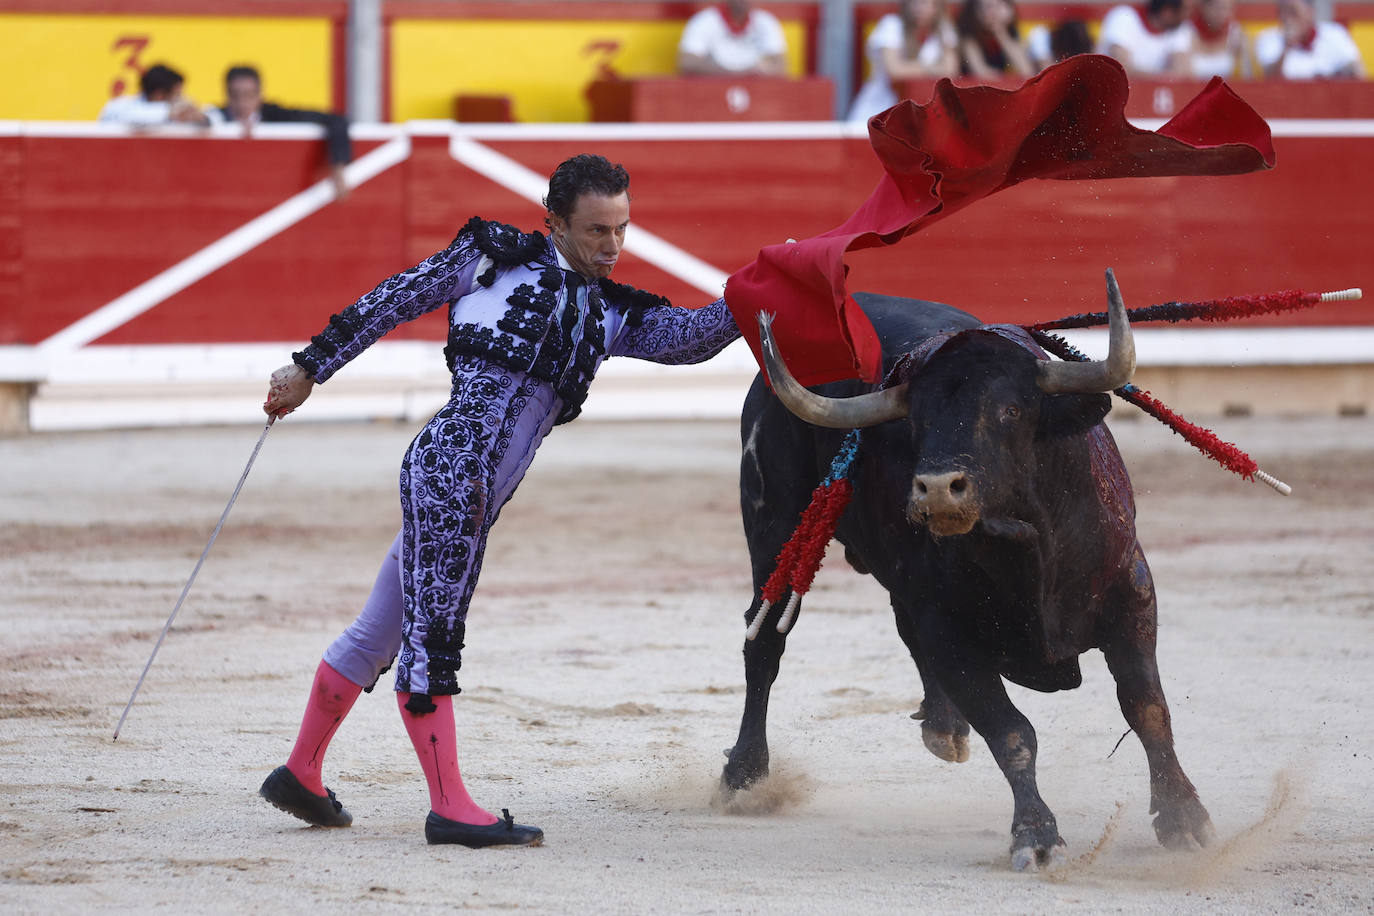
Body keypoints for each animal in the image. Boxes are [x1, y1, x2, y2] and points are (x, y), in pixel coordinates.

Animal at [719, 269, 1214, 873]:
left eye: (1011, 410)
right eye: (918, 420)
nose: (935, 489)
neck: (1021, 544)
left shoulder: (1132, 596)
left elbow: (1146, 708)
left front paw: (1185, 819)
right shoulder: (950, 632)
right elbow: (1012, 731)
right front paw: (1037, 836)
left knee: (896, 625)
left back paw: (943, 724)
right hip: (774, 528)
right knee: (766, 639)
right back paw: (745, 773)